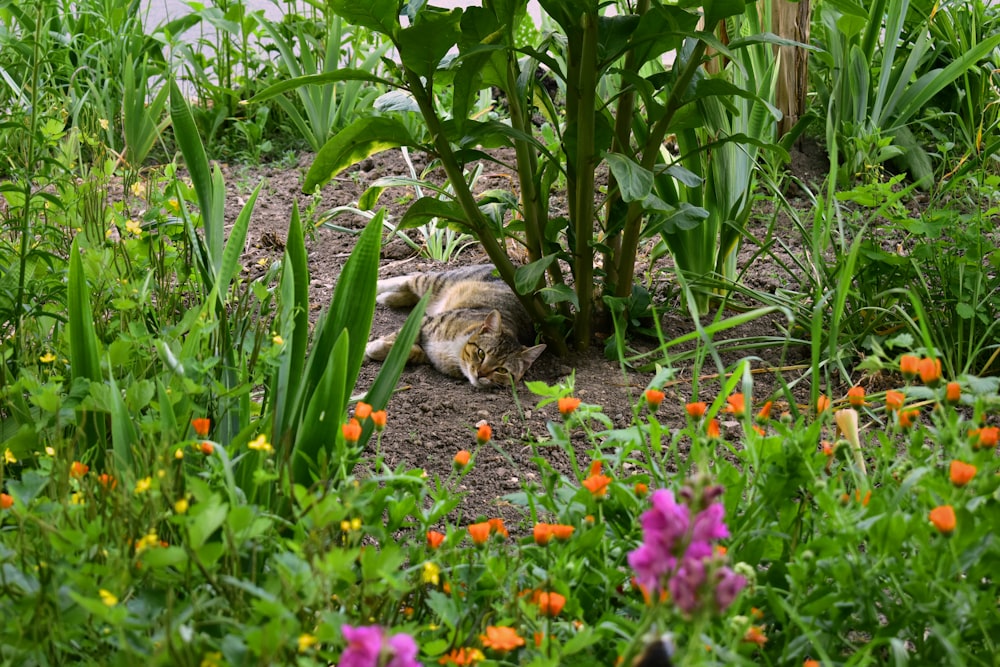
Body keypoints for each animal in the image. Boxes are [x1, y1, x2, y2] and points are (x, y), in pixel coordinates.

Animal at [366, 266, 548, 388]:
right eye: (481, 353)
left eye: (502, 370)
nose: (481, 373)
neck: (457, 351)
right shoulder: (426, 322)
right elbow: (400, 337)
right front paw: (369, 347)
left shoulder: (429, 355)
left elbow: (410, 353)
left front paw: (377, 349)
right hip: (440, 280)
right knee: (411, 278)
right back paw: (377, 286)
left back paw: (388, 298)